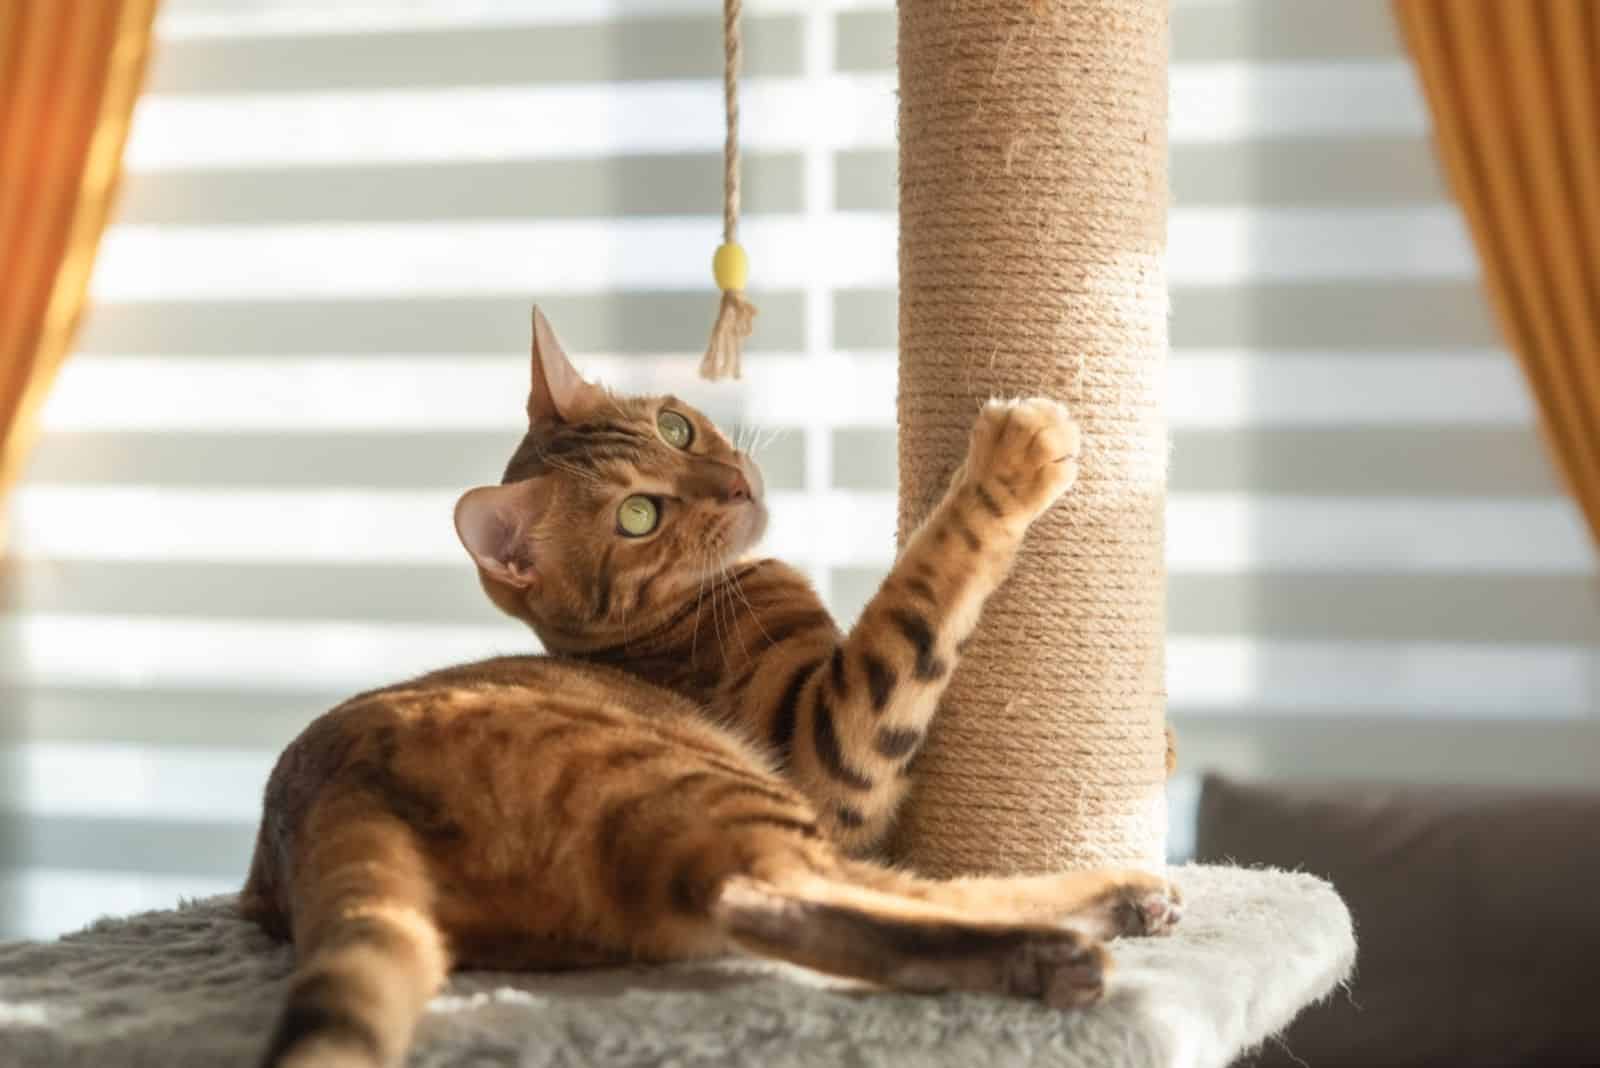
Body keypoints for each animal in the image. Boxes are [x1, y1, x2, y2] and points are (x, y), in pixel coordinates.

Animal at [243, 308, 1184, 1068]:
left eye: (676, 428)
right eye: (639, 516)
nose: (736, 483)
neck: (669, 622)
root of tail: (324, 796)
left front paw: (1165, 744)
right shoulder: (828, 741)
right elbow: (929, 581)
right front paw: (1010, 463)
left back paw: (1107, 910)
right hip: (710, 778)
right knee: (779, 893)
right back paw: (1069, 934)